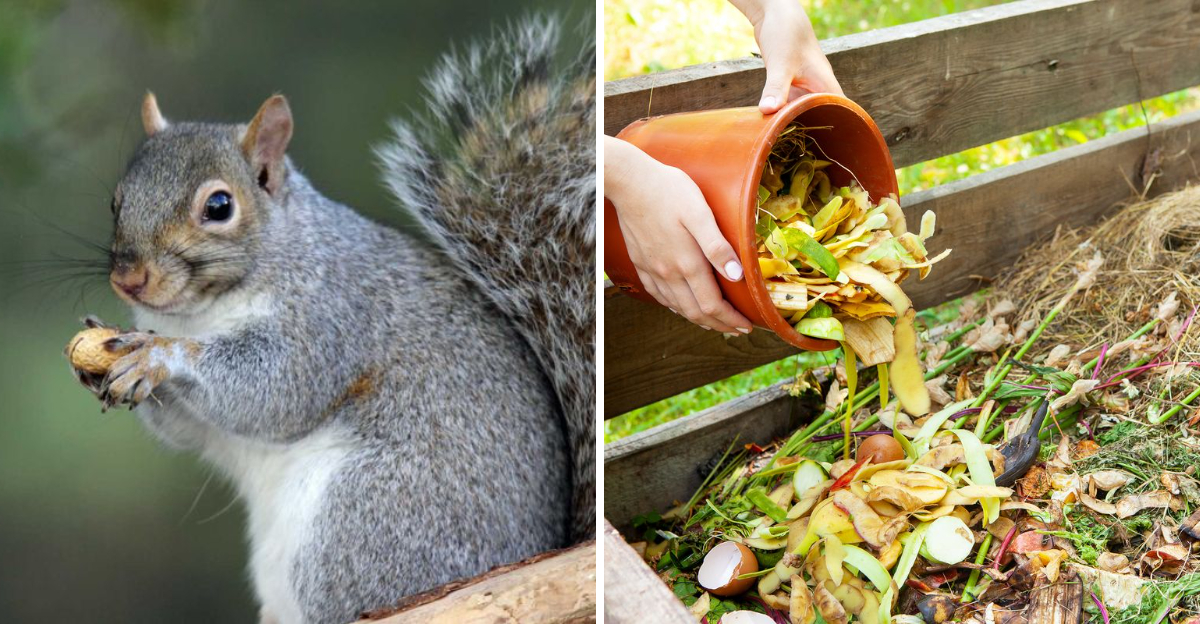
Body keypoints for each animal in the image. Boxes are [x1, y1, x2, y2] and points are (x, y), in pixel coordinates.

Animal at [72, 15, 594, 624]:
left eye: (219, 207)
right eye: (116, 201)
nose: (129, 278)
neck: (197, 314)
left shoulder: (331, 317)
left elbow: (278, 390)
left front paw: (161, 357)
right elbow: (189, 429)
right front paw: (101, 363)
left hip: (362, 521)